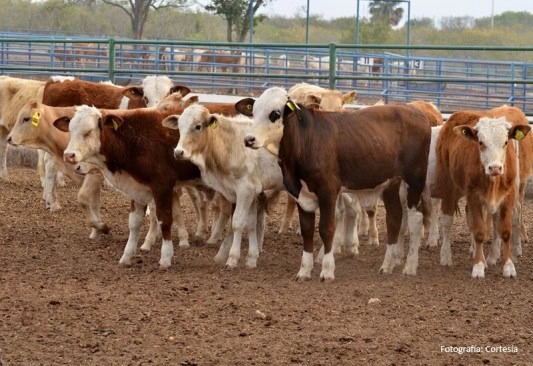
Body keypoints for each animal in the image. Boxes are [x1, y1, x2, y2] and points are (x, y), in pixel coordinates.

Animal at [53, 106, 204, 268]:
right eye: (70, 130)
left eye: (88, 132)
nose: (68, 155)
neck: (134, 141)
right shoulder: (138, 190)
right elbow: (134, 223)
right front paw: (126, 256)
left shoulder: (162, 187)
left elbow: (164, 220)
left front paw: (165, 257)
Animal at [163, 104, 284, 268]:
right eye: (180, 127)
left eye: (198, 126)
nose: (178, 152)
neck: (232, 144)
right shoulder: (249, 191)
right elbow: (251, 223)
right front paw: (251, 259)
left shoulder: (245, 190)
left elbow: (238, 222)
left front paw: (232, 259)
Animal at [239, 86, 430, 280]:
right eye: (253, 112)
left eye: (275, 113)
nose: (249, 139)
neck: (306, 140)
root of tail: (416, 112)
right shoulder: (301, 194)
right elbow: (307, 230)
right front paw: (304, 270)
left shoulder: (328, 191)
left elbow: (326, 228)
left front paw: (327, 270)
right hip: (391, 184)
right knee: (394, 219)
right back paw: (387, 265)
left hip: (414, 181)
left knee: (416, 219)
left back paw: (410, 266)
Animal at [432, 111, 528, 278]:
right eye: (481, 142)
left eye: (505, 142)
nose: (495, 168)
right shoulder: (474, 197)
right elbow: (479, 231)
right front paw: (478, 266)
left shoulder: (507, 197)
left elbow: (504, 230)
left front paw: (508, 266)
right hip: (448, 184)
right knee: (447, 221)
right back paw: (446, 255)